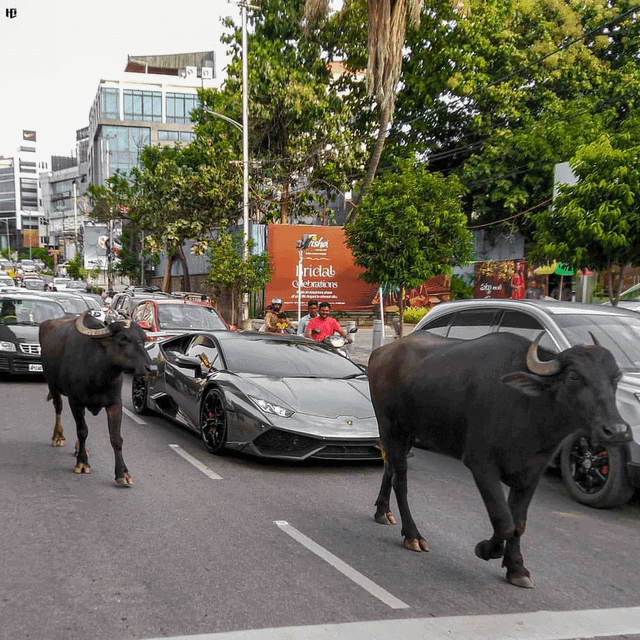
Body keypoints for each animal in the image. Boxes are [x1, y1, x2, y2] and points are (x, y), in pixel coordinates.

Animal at [40, 312, 155, 484]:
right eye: (123, 338)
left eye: (144, 337)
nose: (151, 368)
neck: (98, 375)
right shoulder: (75, 401)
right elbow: (82, 430)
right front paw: (82, 463)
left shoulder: (115, 403)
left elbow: (116, 437)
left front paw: (123, 473)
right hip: (52, 385)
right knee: (58, 407)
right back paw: (58, 436)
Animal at [368, 332, 632, 588]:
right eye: (574, 376)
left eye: (615, 377)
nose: (617, 430)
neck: (529, 409)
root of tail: (381, 353)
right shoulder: (481, 464)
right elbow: (504, 520)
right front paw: (486, 549)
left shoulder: (532, 473)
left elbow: (519, 522)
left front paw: (517, 568)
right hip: (392, 428)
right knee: (400, 480)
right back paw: (413, 535)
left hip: (409, 434)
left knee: (389, 468)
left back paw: (383, 511)